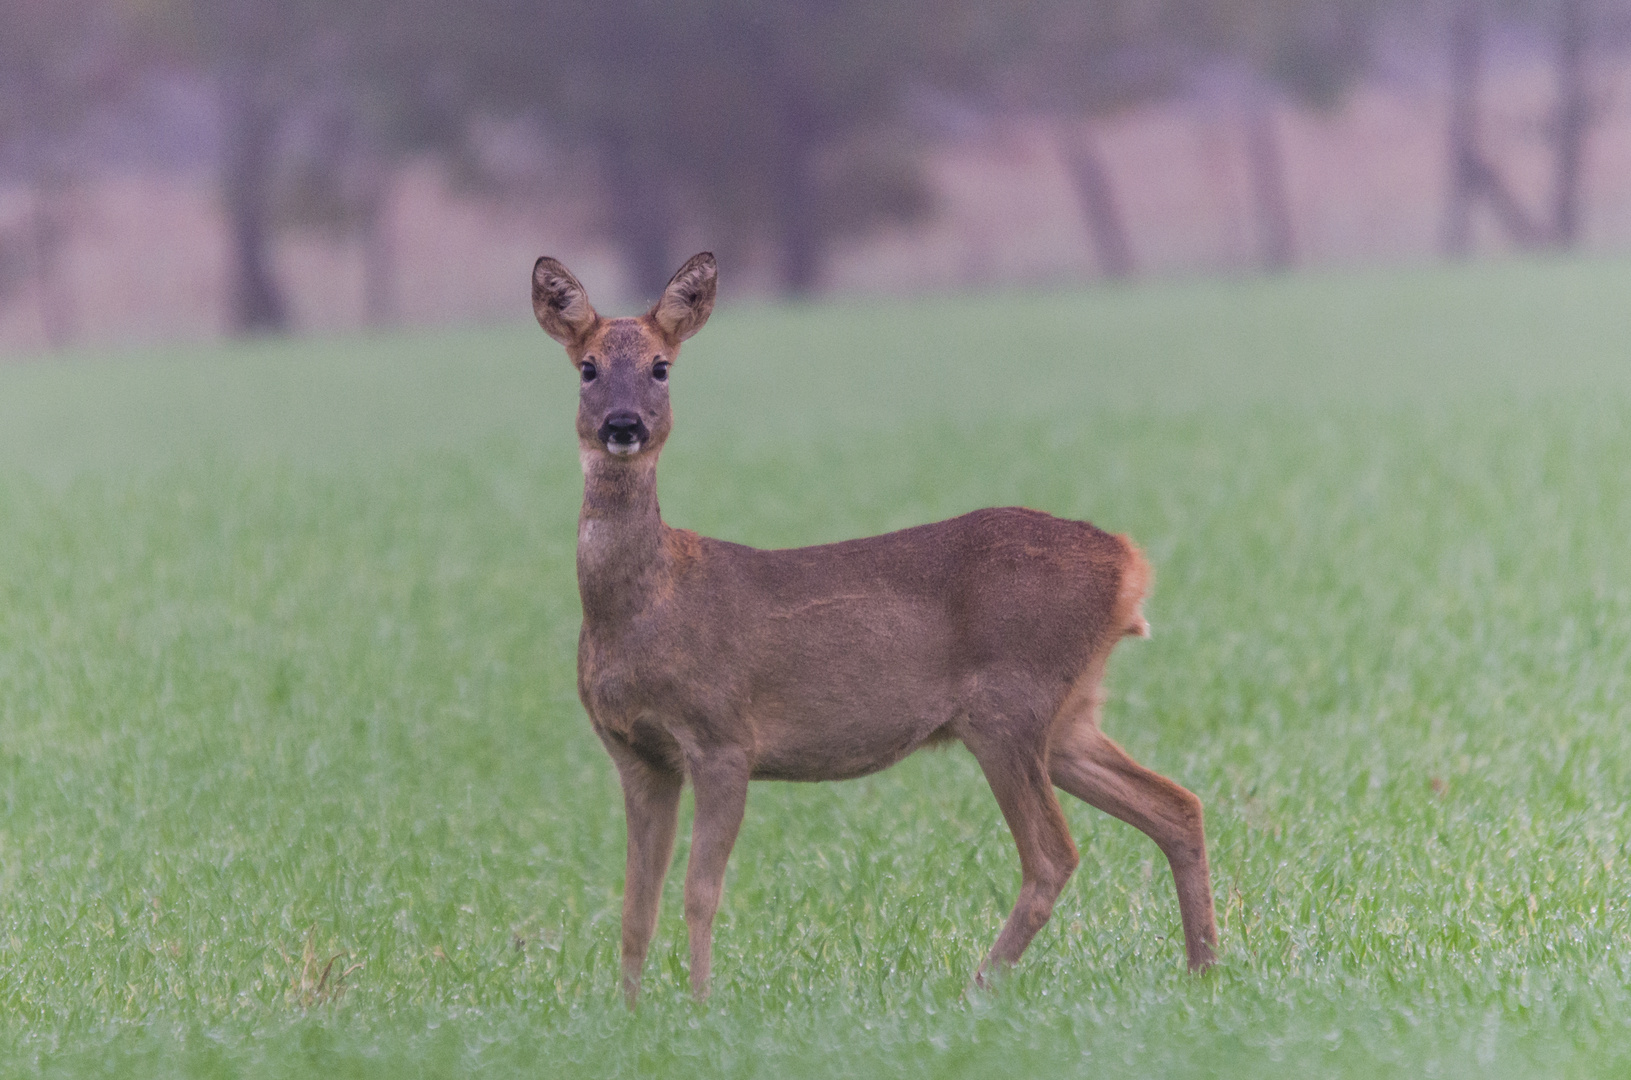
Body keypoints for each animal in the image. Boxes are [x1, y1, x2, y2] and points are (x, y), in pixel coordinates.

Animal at [541, 251, 1219, 1004]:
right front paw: (631, 1013)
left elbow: (699, 891)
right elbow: (636, 903)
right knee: (1176, 806)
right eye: (587, 367)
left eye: (661, 366)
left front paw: (698, 1005)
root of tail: (1129, 563)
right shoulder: (636, 754)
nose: (623, 425)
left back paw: (978, 987)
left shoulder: (723, 737)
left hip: (1007, 705)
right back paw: (1204, 969)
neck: (645, 609)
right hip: (1066, 717)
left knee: (1053, 855)